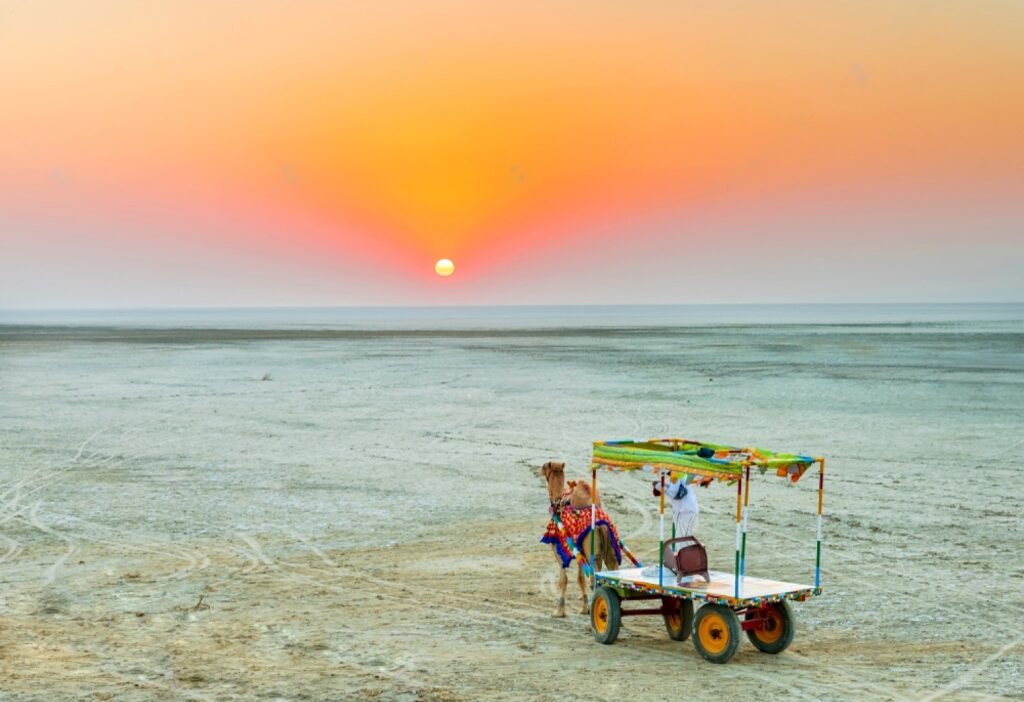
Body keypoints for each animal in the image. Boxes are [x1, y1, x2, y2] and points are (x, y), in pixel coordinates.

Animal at [540, 464, 618, 618]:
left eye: (545, 468)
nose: (540, 469)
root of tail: (602, 526)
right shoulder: (579, 550)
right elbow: (580, 578)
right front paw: (584, 609)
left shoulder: (558, 548)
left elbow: (563, 579)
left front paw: (559, 611)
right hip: (610, 549)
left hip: (592, 552)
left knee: (595, 578)